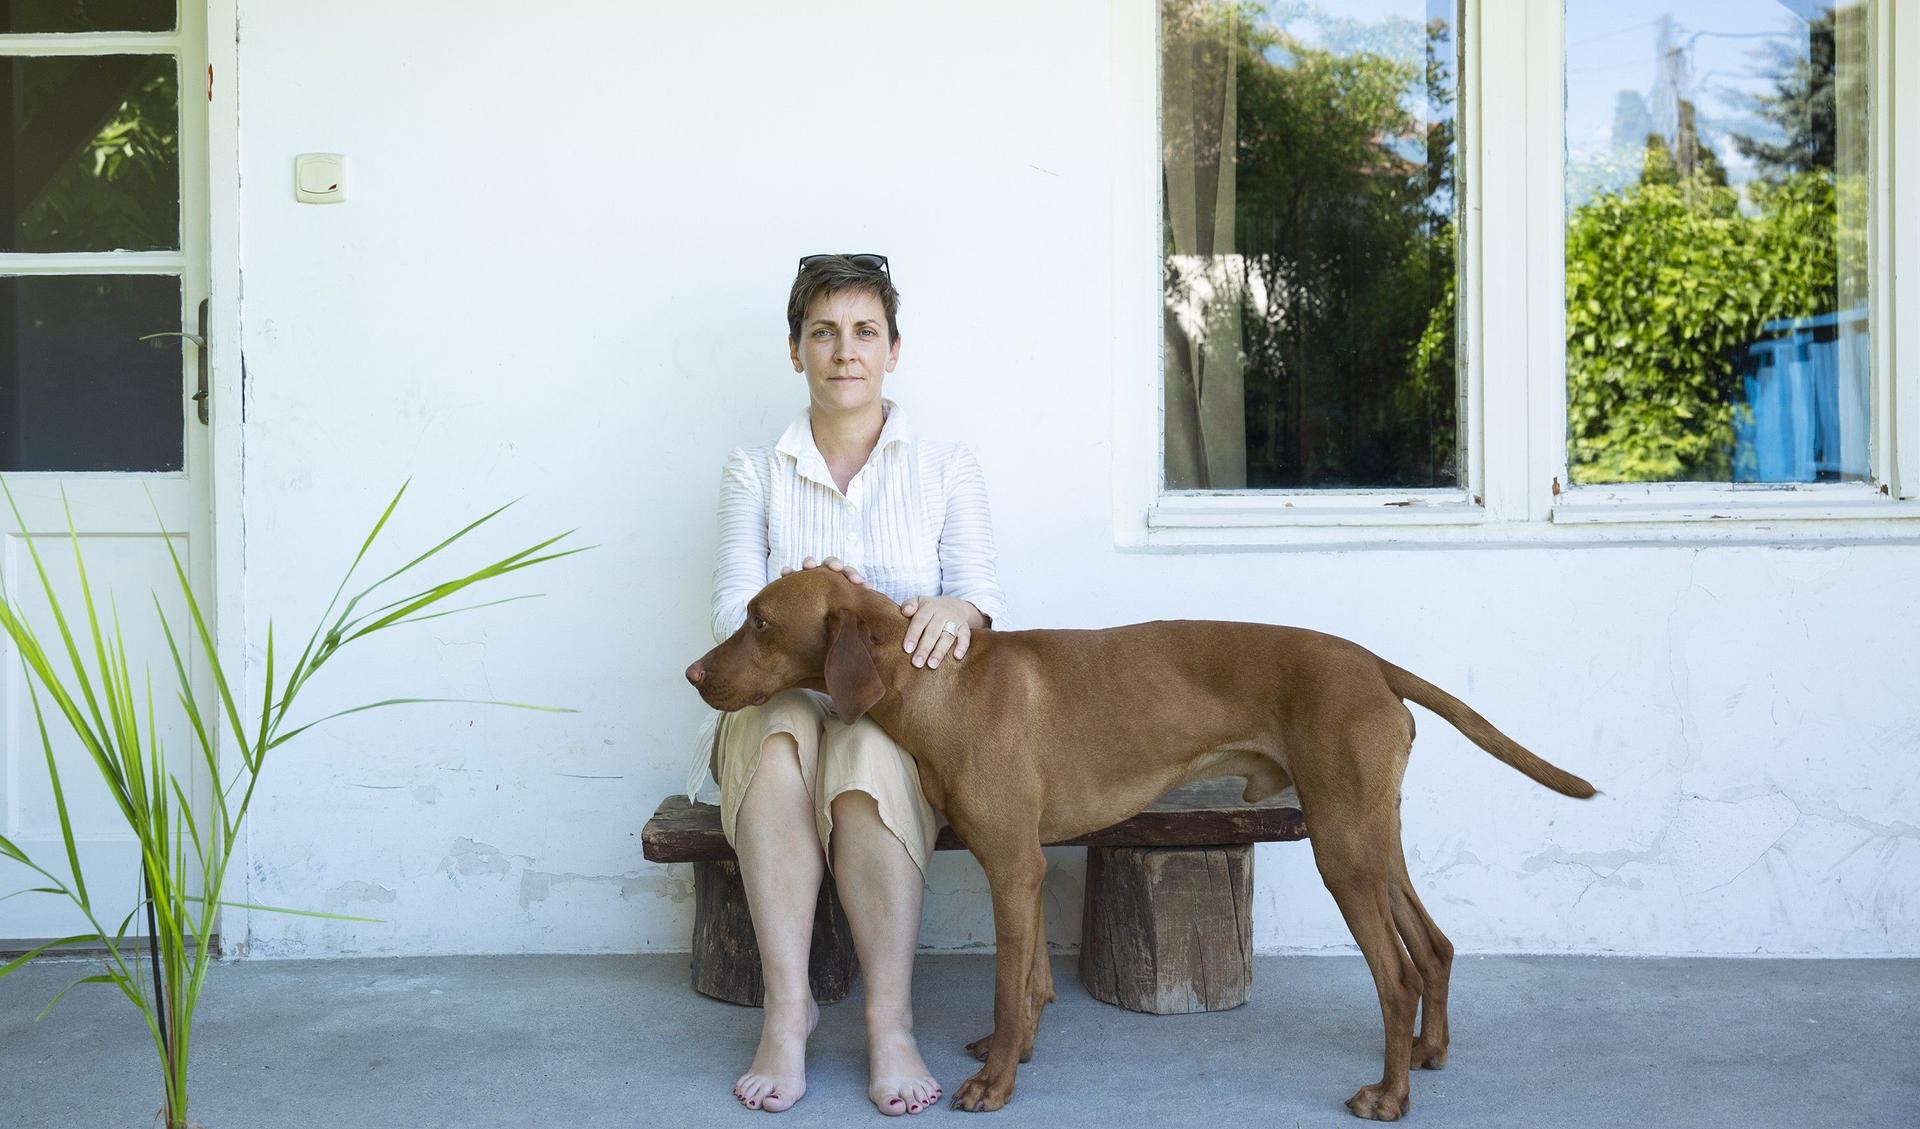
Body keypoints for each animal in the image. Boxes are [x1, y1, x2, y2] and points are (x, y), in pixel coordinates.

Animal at [687, 568, 1589, 1113]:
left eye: (760, 621)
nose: (693, 674)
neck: (940, 683)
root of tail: (1374, 662)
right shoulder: (1022, 865)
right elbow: (1034, 982)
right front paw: (1017, 1049)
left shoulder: (1011, 864)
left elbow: (1009, 989)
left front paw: (994, 1082)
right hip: (1371, 835)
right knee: (1433, 945)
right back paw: (1432, 1052)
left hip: (1343, 849)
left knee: (1397, 974)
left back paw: (1390, 1094)